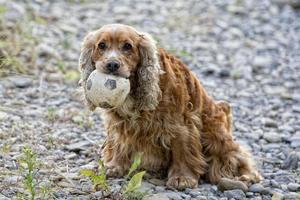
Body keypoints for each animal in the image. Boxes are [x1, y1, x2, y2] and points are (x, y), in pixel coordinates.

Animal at [78, 23, 262, 189]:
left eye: (127, 46)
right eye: (101, 45)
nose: (112, 64)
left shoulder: (181, 125)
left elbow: (182, 150)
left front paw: (182, 178)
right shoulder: (118, 123)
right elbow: (118, 142)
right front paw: (114, 165)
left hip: (215, 135)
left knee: (236, 155)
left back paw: (245, 176)